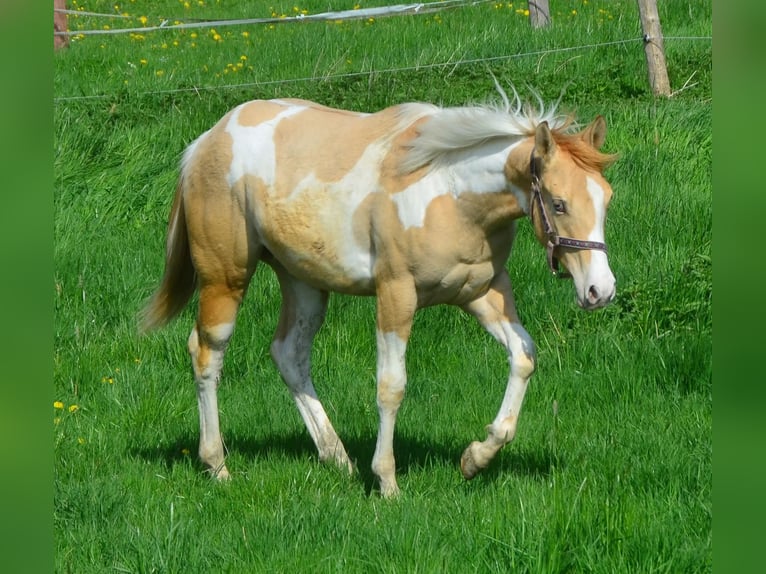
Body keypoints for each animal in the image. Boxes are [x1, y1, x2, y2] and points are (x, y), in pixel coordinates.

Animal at [141, 91, 620, 500]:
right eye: (558, 204)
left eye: (606, 199)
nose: (600, 290)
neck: (450, 191)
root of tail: (206, 141)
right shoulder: (396, 295)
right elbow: (392, 386)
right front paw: (388, 483)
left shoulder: (482, 292)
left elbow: (524, 355)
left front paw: (475, 458)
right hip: (226, 279)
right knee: (207, 353)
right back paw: (217, 465)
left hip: (303, 282)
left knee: (289, 354)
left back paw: (337, 458)